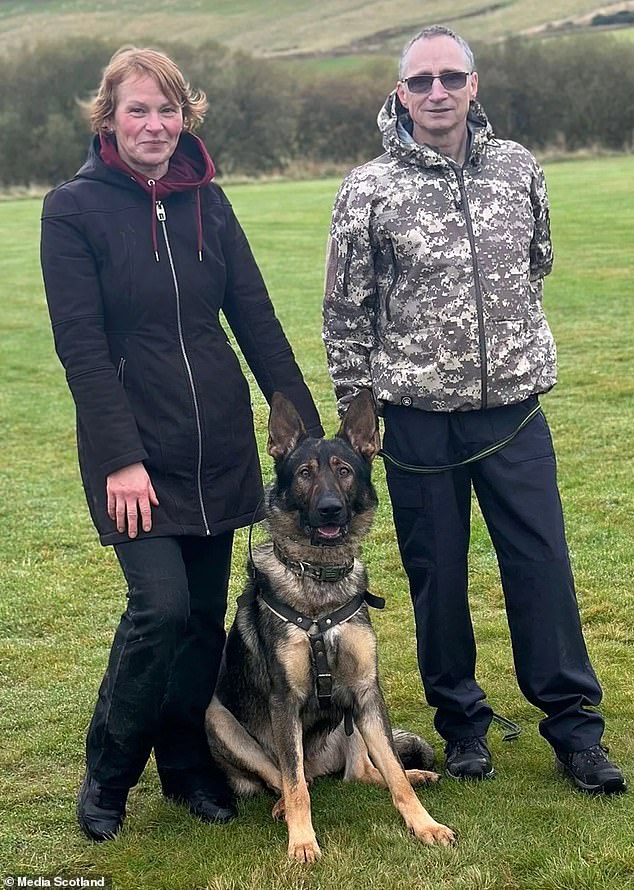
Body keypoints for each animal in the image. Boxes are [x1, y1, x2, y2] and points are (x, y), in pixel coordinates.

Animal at [205, 390, 452, 860]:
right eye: (304, 474)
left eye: (344, 471)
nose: (330, 509)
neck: (319, 581)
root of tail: (323, 765)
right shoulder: (284, 702)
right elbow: (294, 783)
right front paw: (302, 841)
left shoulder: (366, 691)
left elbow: (393, 771)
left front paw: (425, 824)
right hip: (218, 719)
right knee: (288, 778)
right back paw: (283, 807)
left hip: (350, 716)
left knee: (364, 772)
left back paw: (415, 775)